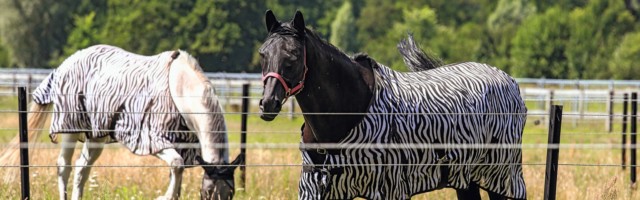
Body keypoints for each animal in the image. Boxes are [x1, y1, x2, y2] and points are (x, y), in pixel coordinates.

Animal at [0, 44, 242, 199]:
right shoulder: (152, 140)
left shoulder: (182, 147)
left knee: (81, 169)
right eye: (207, 193)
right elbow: (176, 166)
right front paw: (162, 197)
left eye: (230, 193)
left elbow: (177, 178)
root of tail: (64, 64)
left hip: (95, 137)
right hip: (70, 127)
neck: (178, 89)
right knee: (64, 167)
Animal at [258, 10, 528, 199]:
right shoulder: (316, 186)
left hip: (501, 175)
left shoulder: (386, 186)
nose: (268, 103)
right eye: (263, 54)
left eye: (293, 56)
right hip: (467, 178)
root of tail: (510, 81)